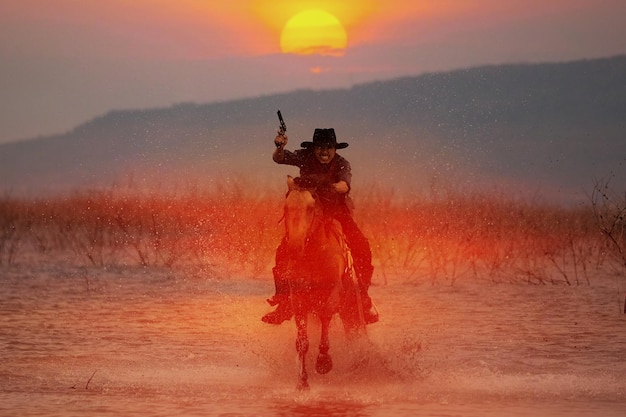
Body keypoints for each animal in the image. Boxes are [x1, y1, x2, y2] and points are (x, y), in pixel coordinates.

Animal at [280, 174, 364, 388]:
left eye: (311, 207)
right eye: (286, 207)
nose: (294, 248)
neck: (314, 254)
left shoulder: (333, 292)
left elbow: (326, 315)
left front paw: (324, 362)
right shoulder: (298, 297)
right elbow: (302, 338)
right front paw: (302, 380)